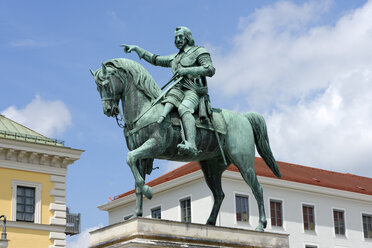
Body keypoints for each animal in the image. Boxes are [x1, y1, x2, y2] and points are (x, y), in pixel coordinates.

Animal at [91, 57, 282, 231]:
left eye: (105, 84)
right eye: (97, 87)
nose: (108, 110)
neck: (146, 109)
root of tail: (244, 118)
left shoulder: (154, 145)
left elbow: (129, 159)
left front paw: (149, 191)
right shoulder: (142, 156)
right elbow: (136, 181)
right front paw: (136, 214)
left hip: (243, 163)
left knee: (257, 189)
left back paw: (261, 225)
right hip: (211, 168)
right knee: (219, 194)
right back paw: (210, 223)